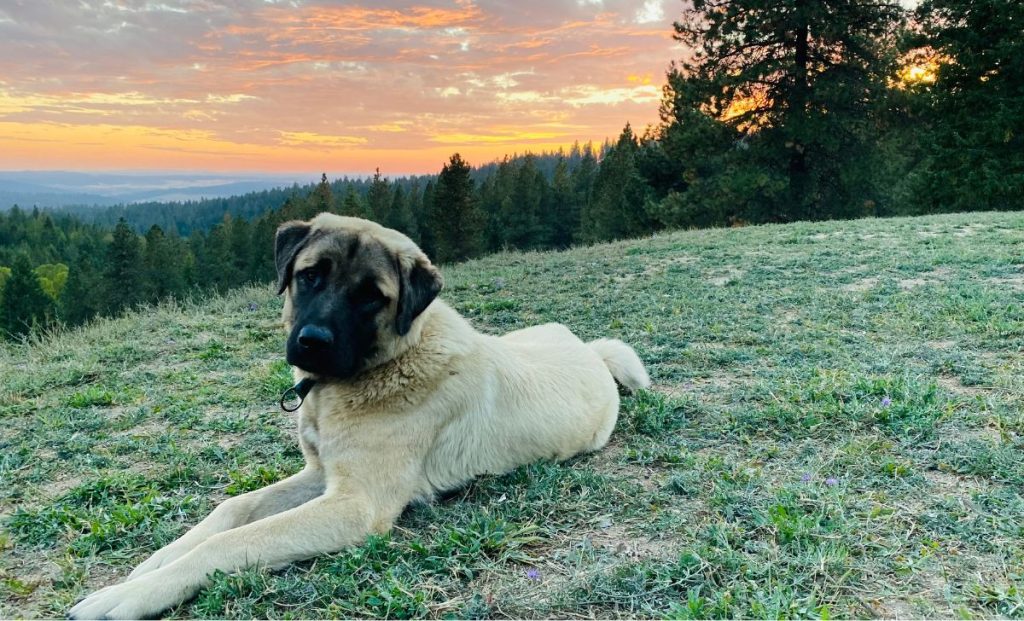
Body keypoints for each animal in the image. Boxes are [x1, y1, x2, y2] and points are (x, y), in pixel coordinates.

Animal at [70, 215, 647, 621]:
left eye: (371, 296)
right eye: (309, 276)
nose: (312, 343)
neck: (376, 370)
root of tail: (591, 352)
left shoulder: (354, 505)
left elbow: (231, 541)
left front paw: (132, 595)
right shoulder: (321, 475)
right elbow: (231, 509)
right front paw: (151, 564)